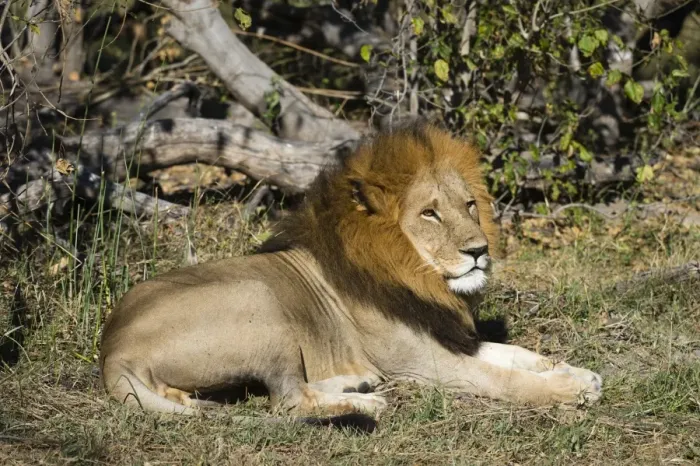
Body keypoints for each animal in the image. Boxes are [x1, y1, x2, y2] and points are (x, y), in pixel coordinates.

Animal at [99, 123, 602, 429]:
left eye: (469, 206)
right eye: (430, 214)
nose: (479, 251)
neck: (419, 277)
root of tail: (111, 351)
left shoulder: (447, 336)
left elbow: (517, 354)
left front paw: (572, 370)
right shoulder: (424, 363)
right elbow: (504, 379)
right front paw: (568, 389)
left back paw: (356, 384)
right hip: (259, 298)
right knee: (288, 400)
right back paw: (367, 402)